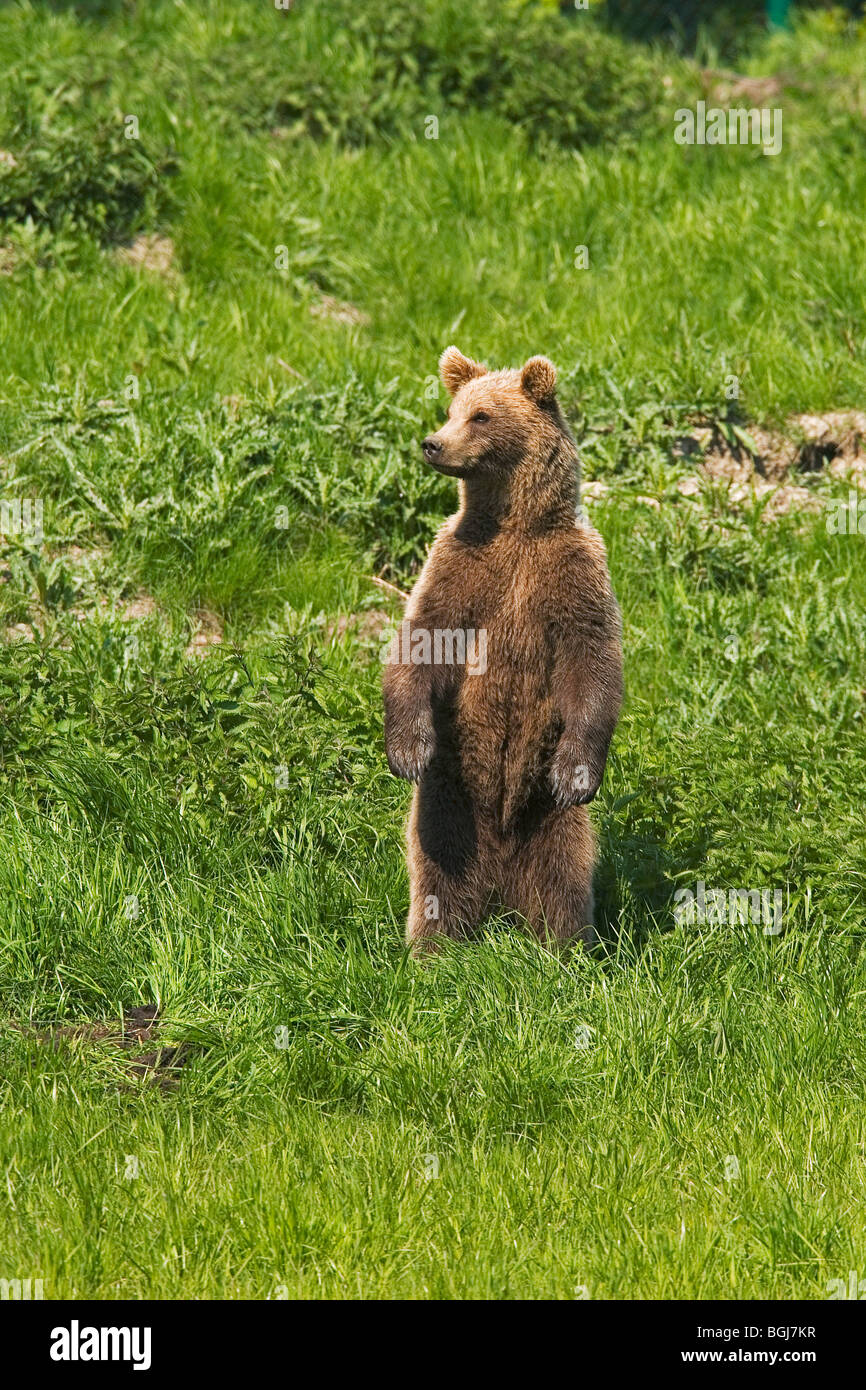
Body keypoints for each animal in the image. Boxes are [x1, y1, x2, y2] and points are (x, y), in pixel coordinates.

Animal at [382, 347, 623, 954]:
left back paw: (566, 950)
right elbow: (423, 636)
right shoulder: (461, 563)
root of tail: (500, 885)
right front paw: (407, 748)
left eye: (482, 415)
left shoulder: (570, 572)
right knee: (439, 869)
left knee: (564, 877)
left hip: (549, 819)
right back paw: (432, 949)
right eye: (451, 409)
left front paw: (576, 775)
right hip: (449, 799)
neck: (517, 526)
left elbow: (594, 658)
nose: (433, 443)